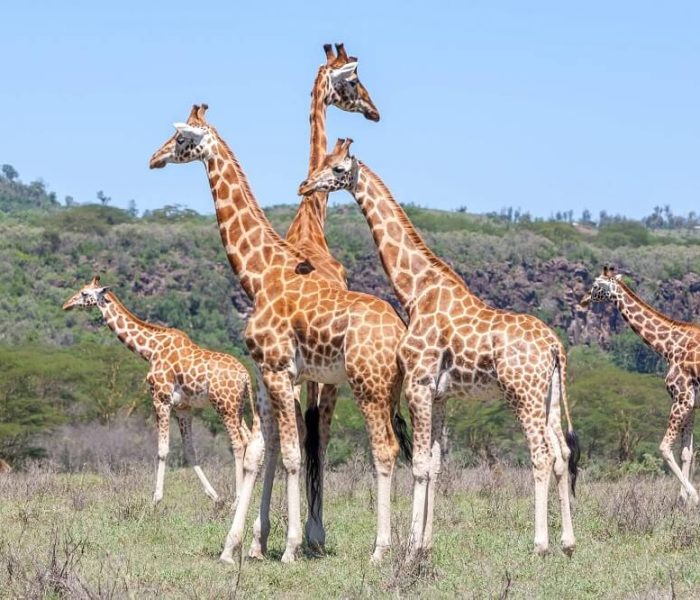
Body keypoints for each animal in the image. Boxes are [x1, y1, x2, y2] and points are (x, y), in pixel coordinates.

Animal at [62, 277, 254, 504]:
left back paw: (238, 499)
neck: (149, 350)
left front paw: (156, 498)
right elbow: (189, 450)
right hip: (238, 406)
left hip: (224, 405)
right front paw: (215, 496)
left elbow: (162, 449)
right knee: (249, 439)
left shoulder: (160, 398)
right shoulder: (183, 407)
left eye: (84, 293)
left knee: (238, 443)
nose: (66, 304)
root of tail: (245, 376)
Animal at [149, 105, 408, 564]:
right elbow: (256, 452)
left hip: (367, 385)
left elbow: (289, 453)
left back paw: (380, 550)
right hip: (387, 389)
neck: (260, 273)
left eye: (180, 139)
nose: (154, 158)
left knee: (383, 449)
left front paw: (288, 547)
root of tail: (398, 333)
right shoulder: (265, 374)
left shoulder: (280, 370)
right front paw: (234, 547)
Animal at [298, 139, 581, 557]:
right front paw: (424, 544)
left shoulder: (417, 383)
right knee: (562, 454)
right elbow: (433, 465)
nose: (304, 185)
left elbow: (417, 465)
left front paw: (409, 546)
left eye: (337, 169)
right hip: (548, 397)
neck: (416, 291)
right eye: (323, 162)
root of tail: (554, 347)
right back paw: (568, 542)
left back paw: (540, 545)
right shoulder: (439, 394)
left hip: (522, 393)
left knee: (541, 455)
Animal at [582, 265, 700, 503]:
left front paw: (693, 496)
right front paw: (683, 498)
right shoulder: (691, 402)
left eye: (596, 285)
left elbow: (664, 448)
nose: (583, 299)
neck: (669, 346)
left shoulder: (681, 397)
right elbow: (686, 451)